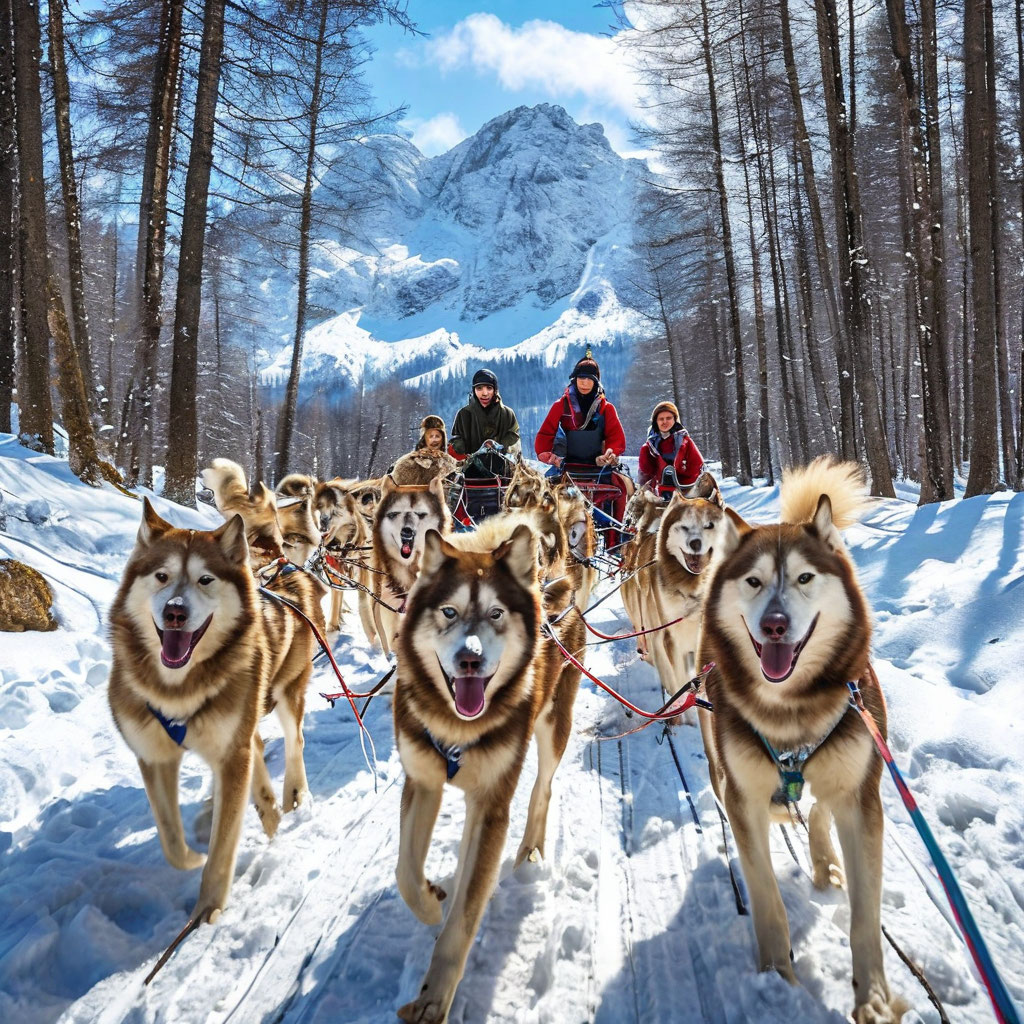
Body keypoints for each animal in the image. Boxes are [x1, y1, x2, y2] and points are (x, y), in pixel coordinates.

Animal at [108, 499, 323, 925]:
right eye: (162, 576)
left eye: (205, 580)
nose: (174, 612)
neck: (178, 689)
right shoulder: (154, 754)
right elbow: (171, 838)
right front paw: (193, 856)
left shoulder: (230, 756)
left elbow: (224, 844)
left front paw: (209, 906)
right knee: (257, 750)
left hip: (286, 692)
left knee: (294, 740)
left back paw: (291, 794)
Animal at [391, 524, 585, 1019]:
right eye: (449, 611)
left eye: (496, 613)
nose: (470, 660)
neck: (457, 727)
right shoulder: (422, 782)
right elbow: (406, 872)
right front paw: (430, 902)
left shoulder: (493, 804)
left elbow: (465, 915)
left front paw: (435, 997)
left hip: (553, 726)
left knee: (542, 788)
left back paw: (531, 847)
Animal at [696, 460, 905, 1019]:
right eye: (753, 581)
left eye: (805, 578)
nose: (774, 624)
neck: (791, 711)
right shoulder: (743, 795)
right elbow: (767, 897)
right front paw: (776, 974)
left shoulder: (861, 797)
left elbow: (865, 914)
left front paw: (874, 998)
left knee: (817, 807)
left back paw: (823, 859)